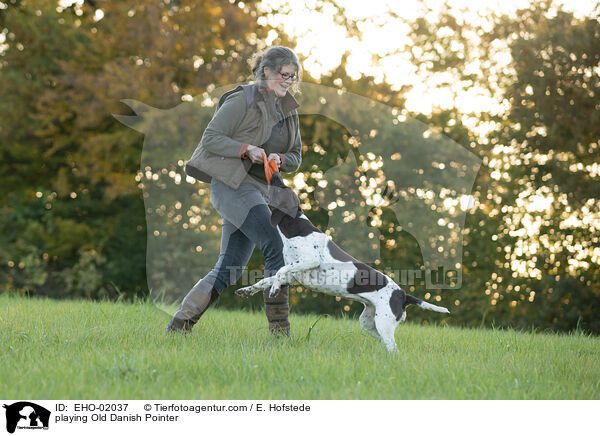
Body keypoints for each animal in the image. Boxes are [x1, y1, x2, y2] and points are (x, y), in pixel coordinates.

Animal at [236, 171, 450, 350]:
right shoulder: (295, 274)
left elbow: (280, 273)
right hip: (369, 322)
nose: (276, 173)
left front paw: (274, 289)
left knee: (394, 349)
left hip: (384, 323)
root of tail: (403, 295)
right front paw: (247, 290)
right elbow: (267, 279)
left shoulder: (310, 260)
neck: (294, 226)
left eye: (281, 186)